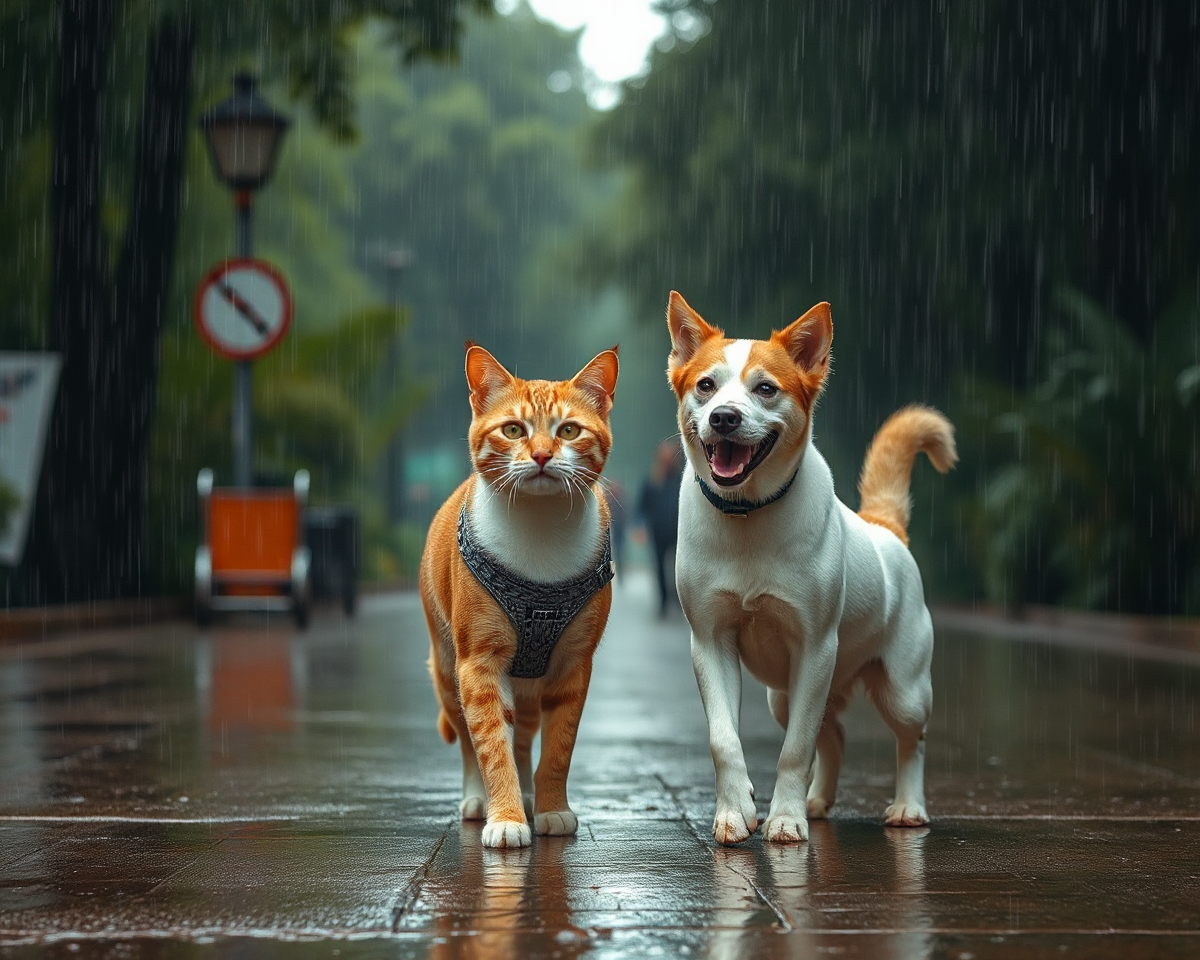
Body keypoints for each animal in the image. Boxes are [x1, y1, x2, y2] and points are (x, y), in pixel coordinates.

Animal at [420, 338, 619, 849]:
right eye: (513, 429)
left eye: (568, 430)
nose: (544, 456)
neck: (539, 526)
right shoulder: (479, 663)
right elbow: (491, 745)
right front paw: (506, 817)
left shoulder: (574, 665)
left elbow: (558, 748)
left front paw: (550, 809)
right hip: (447, 668)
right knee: (471, 739)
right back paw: (478, 801)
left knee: (526, 734)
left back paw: (529, 795)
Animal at [667, 289, 955, 844]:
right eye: (706, 385)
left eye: (765, 389)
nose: (724, 417)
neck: (749, 514)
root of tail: (884, 527)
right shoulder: (709, 641)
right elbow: (724, 739)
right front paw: (736, 813)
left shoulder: (815, 647)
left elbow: (795, 750)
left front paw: (785, 819)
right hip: (783, 695)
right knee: (834, 733)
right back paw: (818, 801)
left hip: (903, 686)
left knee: (913, 739)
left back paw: (908, 806)